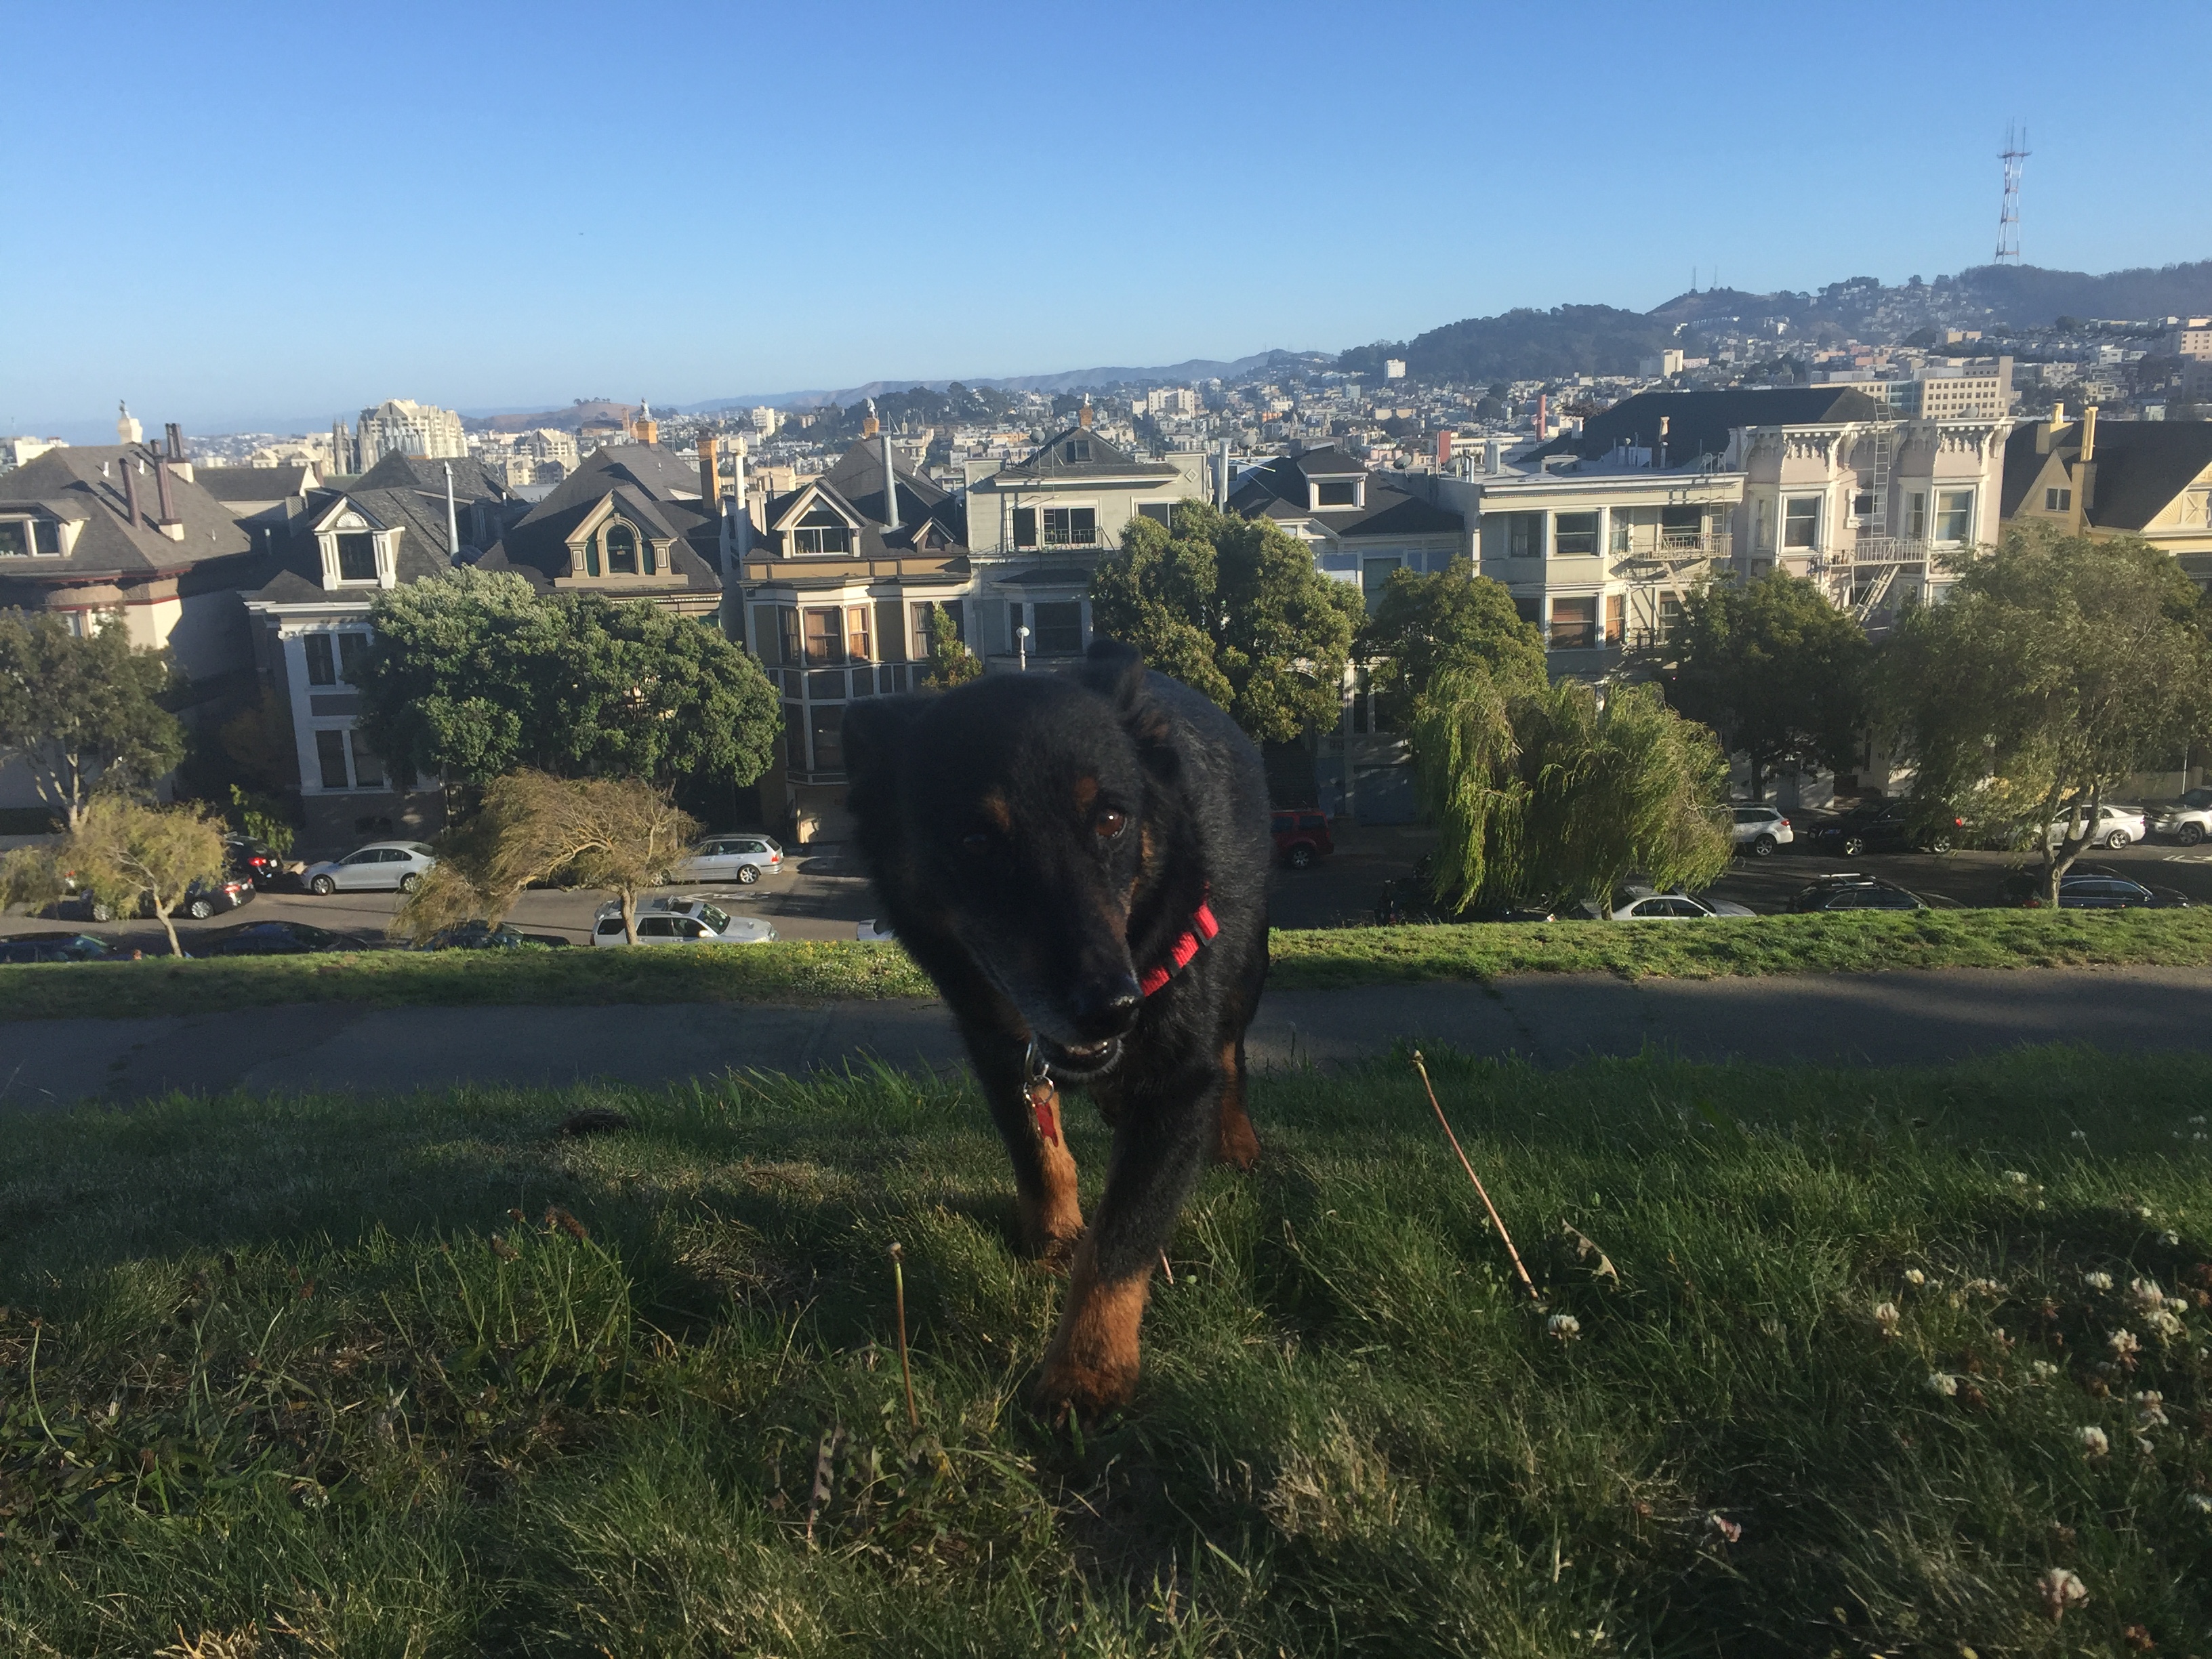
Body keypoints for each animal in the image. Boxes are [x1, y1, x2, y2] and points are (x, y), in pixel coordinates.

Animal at [836, 641, 1274, 1425]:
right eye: (975, 840)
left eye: (1110, 819)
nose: (1112, 1008)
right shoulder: (996, 1045)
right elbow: (1038, 1153)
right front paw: (1052, 1235)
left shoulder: (1177, 1081)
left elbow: (1122, 1238)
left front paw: (1088, 1369)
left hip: (1246, 968)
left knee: (1234, 1057)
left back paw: (1237, 1140)